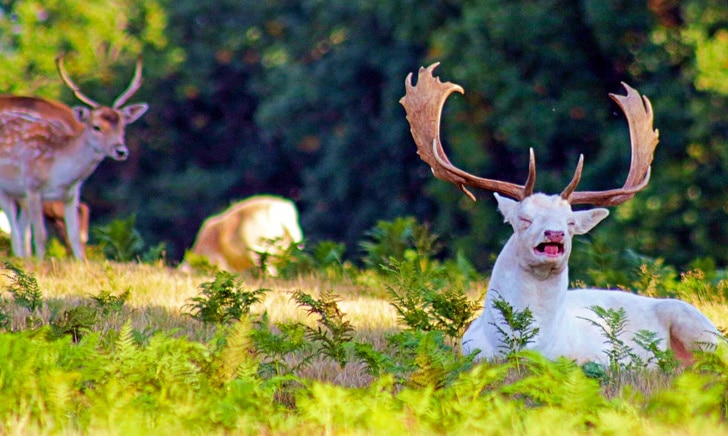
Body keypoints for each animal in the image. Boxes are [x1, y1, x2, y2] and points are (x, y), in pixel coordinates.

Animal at [0, 55, 148, 258]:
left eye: (123, 126)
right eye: (96, 127)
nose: (121, 151)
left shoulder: (71, 194)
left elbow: (74, 236)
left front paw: (81, 264)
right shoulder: (32, 187)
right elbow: (41, 235)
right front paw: (40, 263)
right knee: (17, 228)